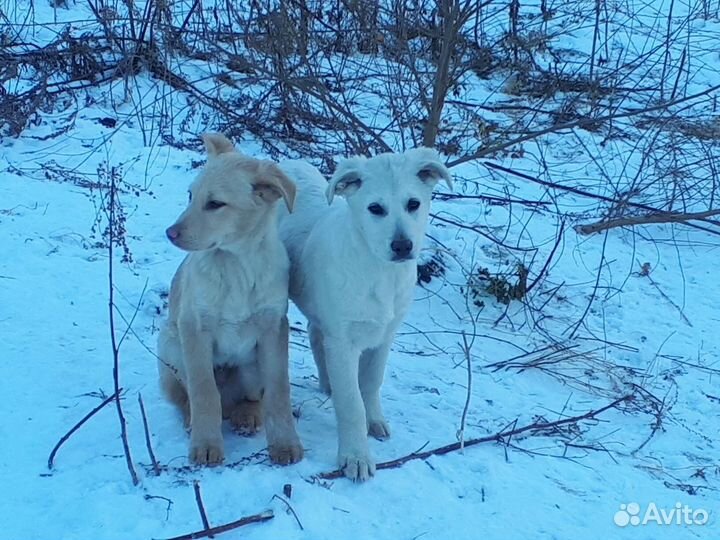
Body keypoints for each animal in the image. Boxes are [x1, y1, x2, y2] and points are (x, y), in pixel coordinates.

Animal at [158, 133, 304, 466]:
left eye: (215, 204)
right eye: (190, 195)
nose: (170, 233)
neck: (237, 264)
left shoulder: (274, 328)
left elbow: (278, 392)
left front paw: (285, 443)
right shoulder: (194, 328)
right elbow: (204, 392)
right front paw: (206, 444)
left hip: (250, 368)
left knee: (251, 398)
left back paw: (247, 415)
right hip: (171, 346)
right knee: (189, 396)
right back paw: (192, 420)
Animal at [278, 148, 450, 480]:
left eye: (413, 204)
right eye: (375, 208)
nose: (402, 246)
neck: (380, 272)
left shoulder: (384, 336)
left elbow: (370, 383)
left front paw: (375, 421)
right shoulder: (343, 340)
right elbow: (351, 403)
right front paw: (355, 456)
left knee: (315, 335)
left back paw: (327, 383)